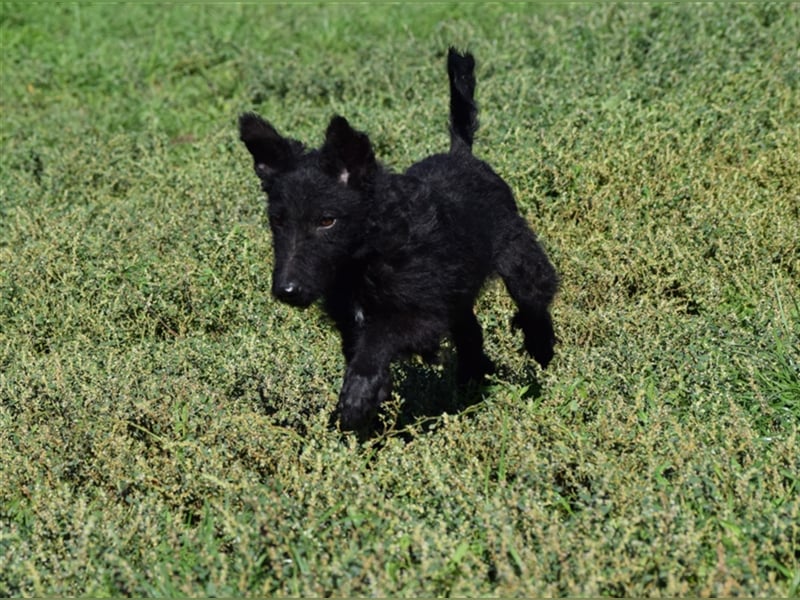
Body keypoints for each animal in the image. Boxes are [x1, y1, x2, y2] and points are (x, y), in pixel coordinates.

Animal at [241, 47, 560, 432]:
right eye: (277, 220)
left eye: (327, 220)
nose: (286, 290)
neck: (368, 253)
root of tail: (462, 153)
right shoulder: (354, 321)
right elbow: (363, 349)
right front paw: (370, 401)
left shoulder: (420, 313)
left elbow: (380, 338)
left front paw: (357, 397)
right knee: (471, 332)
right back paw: (474, 378)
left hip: (518, 257)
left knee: (534, 297)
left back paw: (540, 347)